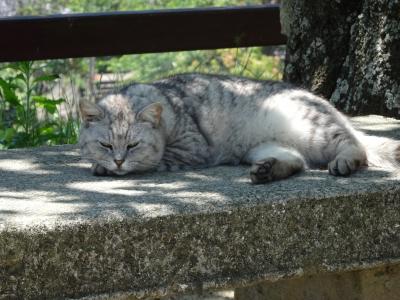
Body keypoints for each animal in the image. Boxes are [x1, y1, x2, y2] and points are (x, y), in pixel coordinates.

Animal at [79, 74, 400, 184]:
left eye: (133, 145)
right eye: (105, 144)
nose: (118, 161)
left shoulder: (190, 149)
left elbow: (155, 161)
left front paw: (105, 168)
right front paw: (102, 164)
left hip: (317, 130)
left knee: (356, 147)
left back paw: (345, 161)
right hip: (261, 147)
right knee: (298, 161)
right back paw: (267, 171)